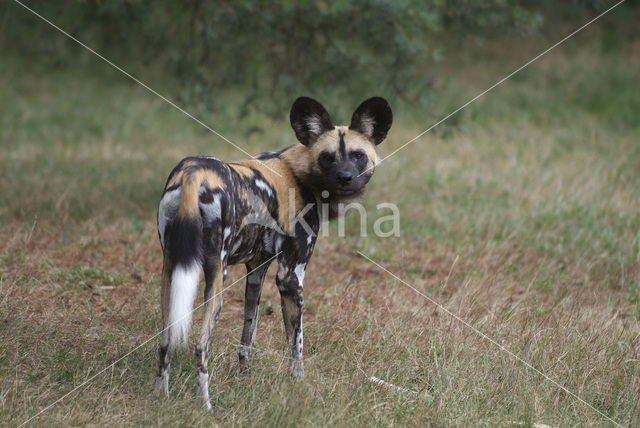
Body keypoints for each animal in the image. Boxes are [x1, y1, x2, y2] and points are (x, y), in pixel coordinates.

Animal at [156, 96, 390, 408]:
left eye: (357, 155)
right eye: (328, 156)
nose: (345, 177)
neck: (302, 175)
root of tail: (193, 171)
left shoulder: (256, 270)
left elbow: (248, 338)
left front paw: (244, 380)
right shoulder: (291, 277)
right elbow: (296, 346)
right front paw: (299, 387)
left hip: (171, 272)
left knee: (165, 343)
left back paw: (160, 399)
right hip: (217, 278)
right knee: (200, 346)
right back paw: (204, 407)